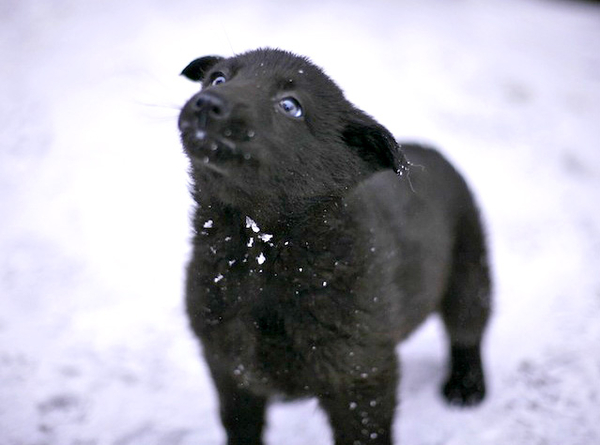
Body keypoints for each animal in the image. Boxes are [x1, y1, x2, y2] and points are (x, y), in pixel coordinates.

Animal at [177, 48, 488, 444]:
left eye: (290, 106)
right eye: (217, 78)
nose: (207, 101)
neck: (260, 257)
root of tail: (431, 149)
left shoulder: (361, 375)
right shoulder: (229, 369)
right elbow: (241, 427)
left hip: (469, 263)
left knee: (468, 328)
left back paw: (466, 387)